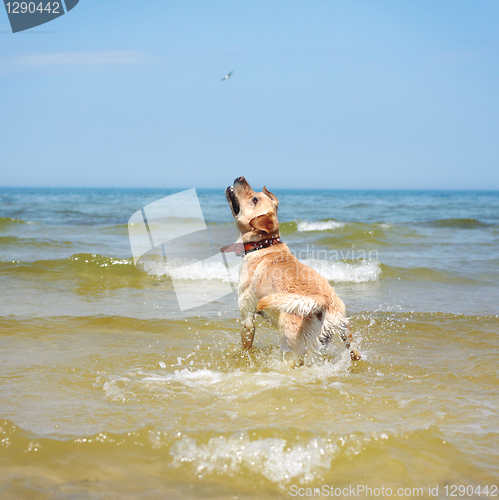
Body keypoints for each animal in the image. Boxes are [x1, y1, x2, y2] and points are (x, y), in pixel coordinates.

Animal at [225, 178, 362, 366]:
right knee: (354, 352)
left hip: (291, 344)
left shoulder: (247, 317)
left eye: (254, 199)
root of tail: (324, 303)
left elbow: (246, 345)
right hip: (346, 331)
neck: (264, 245)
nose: (240, 178)